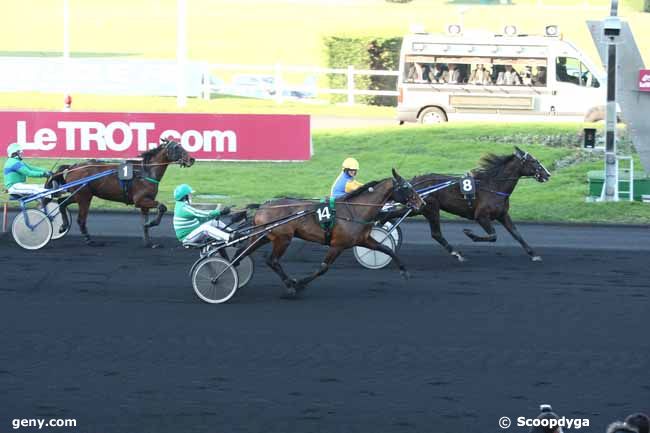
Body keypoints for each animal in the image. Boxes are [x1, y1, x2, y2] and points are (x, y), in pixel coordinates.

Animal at [49, 138, 194, 246]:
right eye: (176, 148)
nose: (191, 159)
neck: (145, 172)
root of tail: (72, 167)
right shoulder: (140, 200)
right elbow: (162, 207)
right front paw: (152, 223)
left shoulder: (146, 202)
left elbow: (144, 222)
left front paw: (148, 241)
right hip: (84, 197)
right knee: (80, 219)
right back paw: (88, 239)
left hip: (78, 195)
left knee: (62, 202)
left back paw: (63, 226)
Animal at [235, 169, 422, 296]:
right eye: (406, 187)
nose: (421, 202)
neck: (355, 210)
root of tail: (262, 206)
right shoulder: (337, 245)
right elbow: (323, 268)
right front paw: (300, 283)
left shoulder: (364, 240)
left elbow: (387, 249)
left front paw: (404, 271)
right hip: (282, 239)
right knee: (272, 260)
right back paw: (289, 284)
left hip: (263, 236)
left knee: (242, 252)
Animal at [378, 146, 548, 260]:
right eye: (534, 161)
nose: (547, 174)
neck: (493, 186)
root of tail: (413, 183)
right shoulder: (481, 216)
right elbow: (493, 235)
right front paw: (469, 233)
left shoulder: (502, 215)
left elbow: (516, 234)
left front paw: (533, 254)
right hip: (425, 208)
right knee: (435, 233)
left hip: (419, 207)